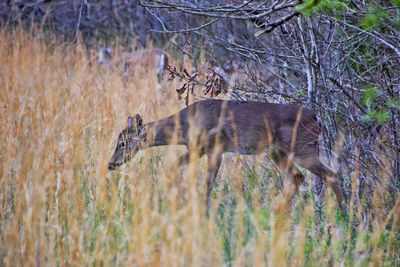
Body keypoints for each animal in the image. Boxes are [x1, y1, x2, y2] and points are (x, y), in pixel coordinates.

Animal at [108, 99, 346, 213]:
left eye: (123, 143)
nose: (110, 164)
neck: (186, 125)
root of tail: (317, 119)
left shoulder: (215, 146)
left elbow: (207, 183)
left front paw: (203, 211)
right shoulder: (198, 148)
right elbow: (175, 166)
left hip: (302, 148)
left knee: (330, 174)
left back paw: (344, 214)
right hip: (277, 152)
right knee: (299, 176)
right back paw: (278, 210)